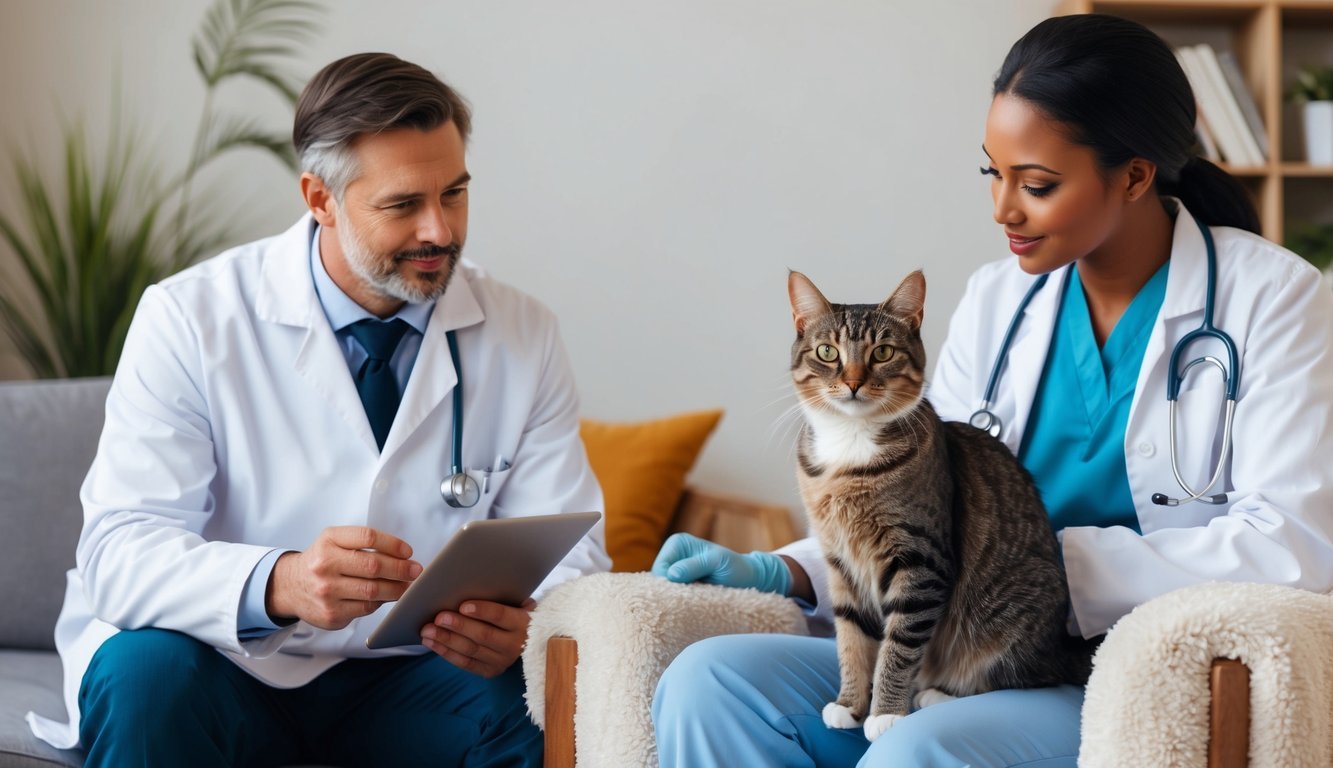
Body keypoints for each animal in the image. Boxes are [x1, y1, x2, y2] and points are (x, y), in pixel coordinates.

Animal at [783, 272, 1087, 746]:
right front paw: (849, 703)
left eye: (882, 352)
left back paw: (937, 694)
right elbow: (851, 637)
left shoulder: (921, 561)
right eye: (827, 352)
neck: (851, 450)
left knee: (1015, 675)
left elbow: (899, 645)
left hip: (1012, 616)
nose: (853, 382)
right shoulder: (840, 561)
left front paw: (885, 712)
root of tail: (1057, 646)